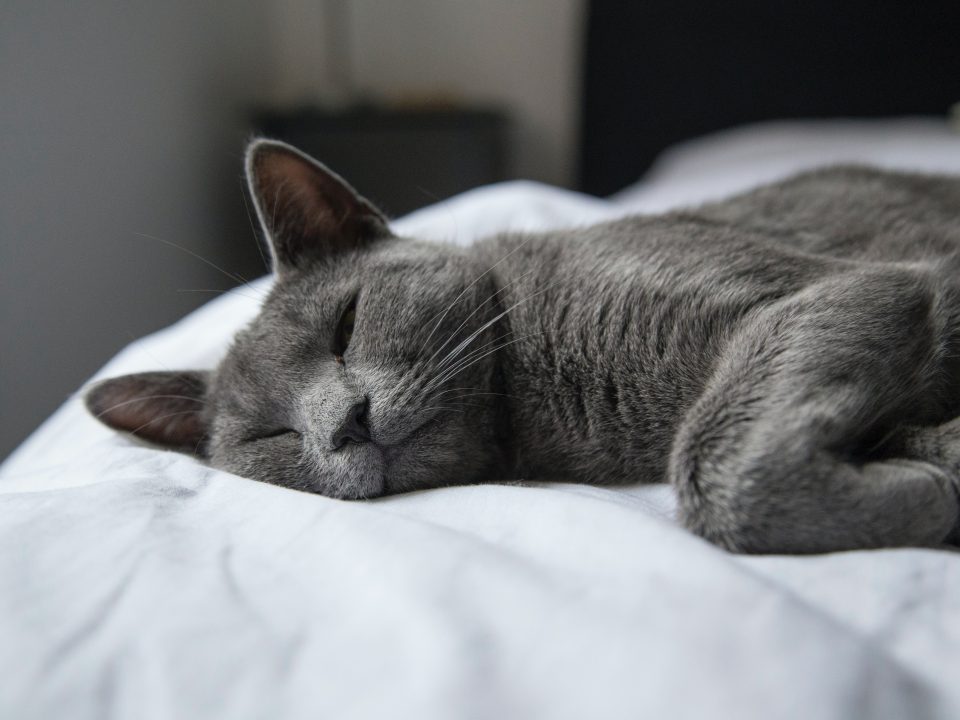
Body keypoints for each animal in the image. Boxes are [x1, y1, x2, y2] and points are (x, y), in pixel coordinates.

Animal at [84, 142, 960, 556]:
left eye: (347, 324)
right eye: (271, 437)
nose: (346, 422)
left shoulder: (832, 291)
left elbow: (716, 462)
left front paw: (929, 489)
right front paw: (934, 475)